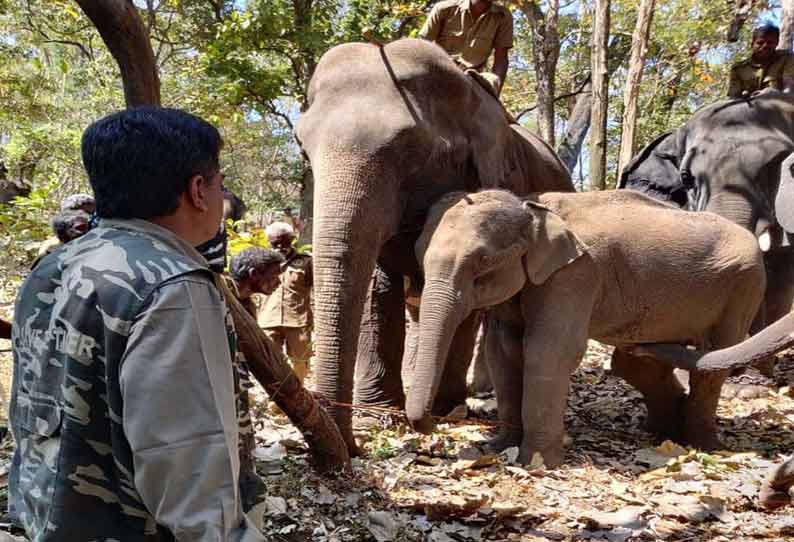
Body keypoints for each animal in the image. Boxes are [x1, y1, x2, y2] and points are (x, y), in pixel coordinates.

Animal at [294, 37, 572, 454]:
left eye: (413, 150)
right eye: (302, 148)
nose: (352, 447)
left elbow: (468, 300)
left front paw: (443, 409)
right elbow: (378, 287)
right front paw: (378, 415)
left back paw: (477, 394)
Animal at [406, 188, 764, 468]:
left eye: (482, 261)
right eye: (419, 253)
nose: (437, 423)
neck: (531, 208)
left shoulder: (575, 274)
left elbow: (548, 351)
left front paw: (536, 463)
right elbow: (503, 352)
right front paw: (498, 447)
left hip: (743, 287)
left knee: (711, 363)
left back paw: (702, 444)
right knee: (638, 361)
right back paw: (665, 430)